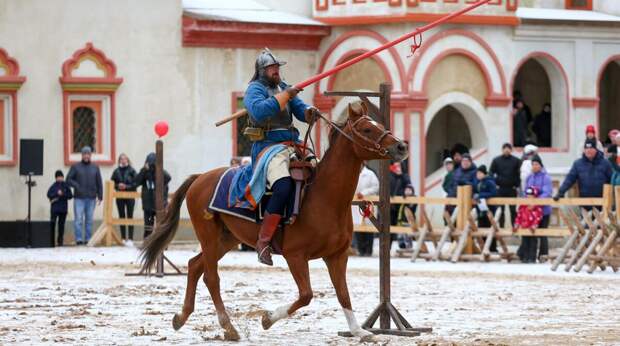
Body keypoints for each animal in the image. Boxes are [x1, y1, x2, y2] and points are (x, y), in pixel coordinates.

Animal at [143, 102, 410, 340]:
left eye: (380, 125)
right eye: (367, 129)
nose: (401, 146)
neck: (324, 197)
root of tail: (200, 178)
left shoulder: (337, 256)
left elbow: (343, 293)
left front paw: (358, 330)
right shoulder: (295, 256)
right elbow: (306, 295)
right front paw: (268, 318)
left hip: (226, 239)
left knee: (195, 266)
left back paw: (182, 317)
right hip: (208, 236)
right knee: (210, 276)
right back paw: (228, 326)